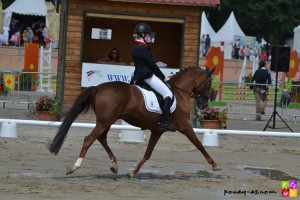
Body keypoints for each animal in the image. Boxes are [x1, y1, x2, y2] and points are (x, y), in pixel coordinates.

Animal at [48, 67, 219, 177]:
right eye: (209, 83)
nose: (204, 104)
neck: (179, 93)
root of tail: (98, 87)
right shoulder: (185, 126)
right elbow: (199, 145)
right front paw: (214, 165)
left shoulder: (157, 131)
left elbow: (148, 153)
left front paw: (133, 171)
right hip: (105, 121)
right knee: (89, 139)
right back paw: (74, 167)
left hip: (107, 121)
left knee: (101, 138)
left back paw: (114, 165)